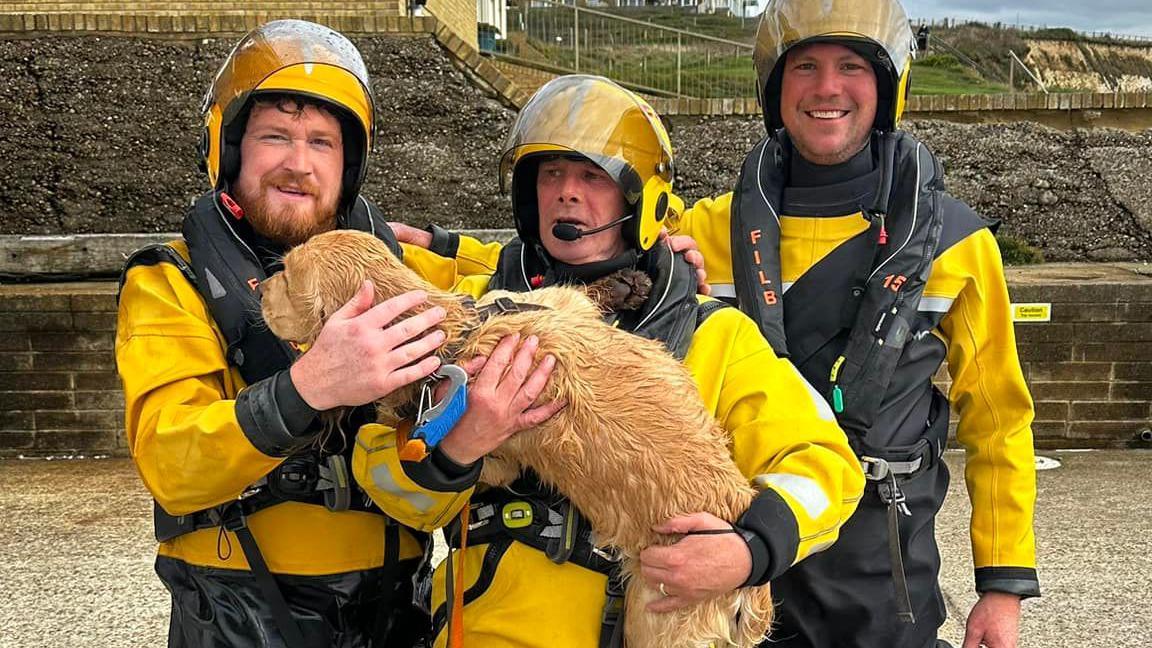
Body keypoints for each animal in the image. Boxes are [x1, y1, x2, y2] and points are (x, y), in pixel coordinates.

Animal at [261, 228, 774, 645]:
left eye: (285, 273)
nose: (260, 289)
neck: (455, 333)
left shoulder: (500, 452)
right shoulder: (553, 308)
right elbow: (575, 293)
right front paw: (624, 284)